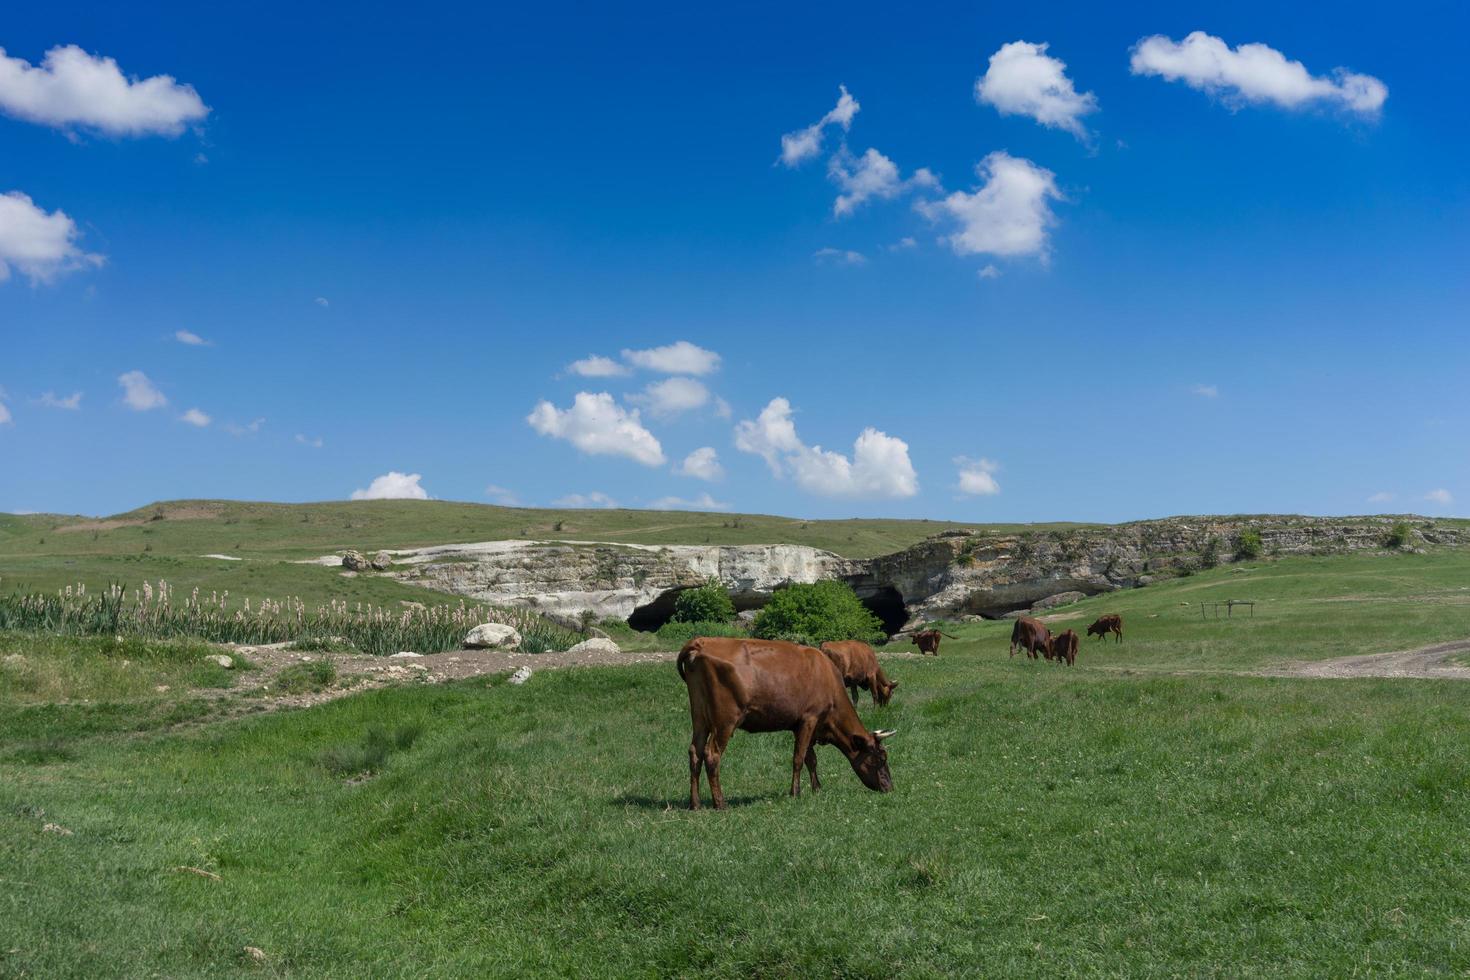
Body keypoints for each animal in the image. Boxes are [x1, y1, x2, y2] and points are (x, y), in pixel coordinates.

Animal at [676, 637, 893, 811]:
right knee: (712, 755)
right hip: (725, 721)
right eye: (881, 758)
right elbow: (798, 758)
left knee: (695, 753)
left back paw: (695, 804)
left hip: (699, 718)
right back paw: (720, 803)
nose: (890, 787)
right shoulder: (809, 718)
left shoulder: (802, 725)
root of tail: (701, 642)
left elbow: (810, 759)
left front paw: (816, 788)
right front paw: (795, 792)